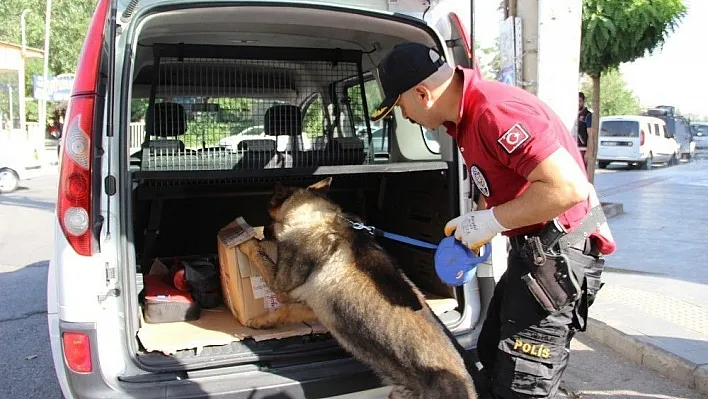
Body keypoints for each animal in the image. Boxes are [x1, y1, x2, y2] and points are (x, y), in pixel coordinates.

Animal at [238, 178, 476, 399]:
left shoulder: (281, 286)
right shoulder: (311, 308)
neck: (320, 218)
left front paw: (246, 243)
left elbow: (261, 260)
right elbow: (290, 310)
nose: (262, 230)